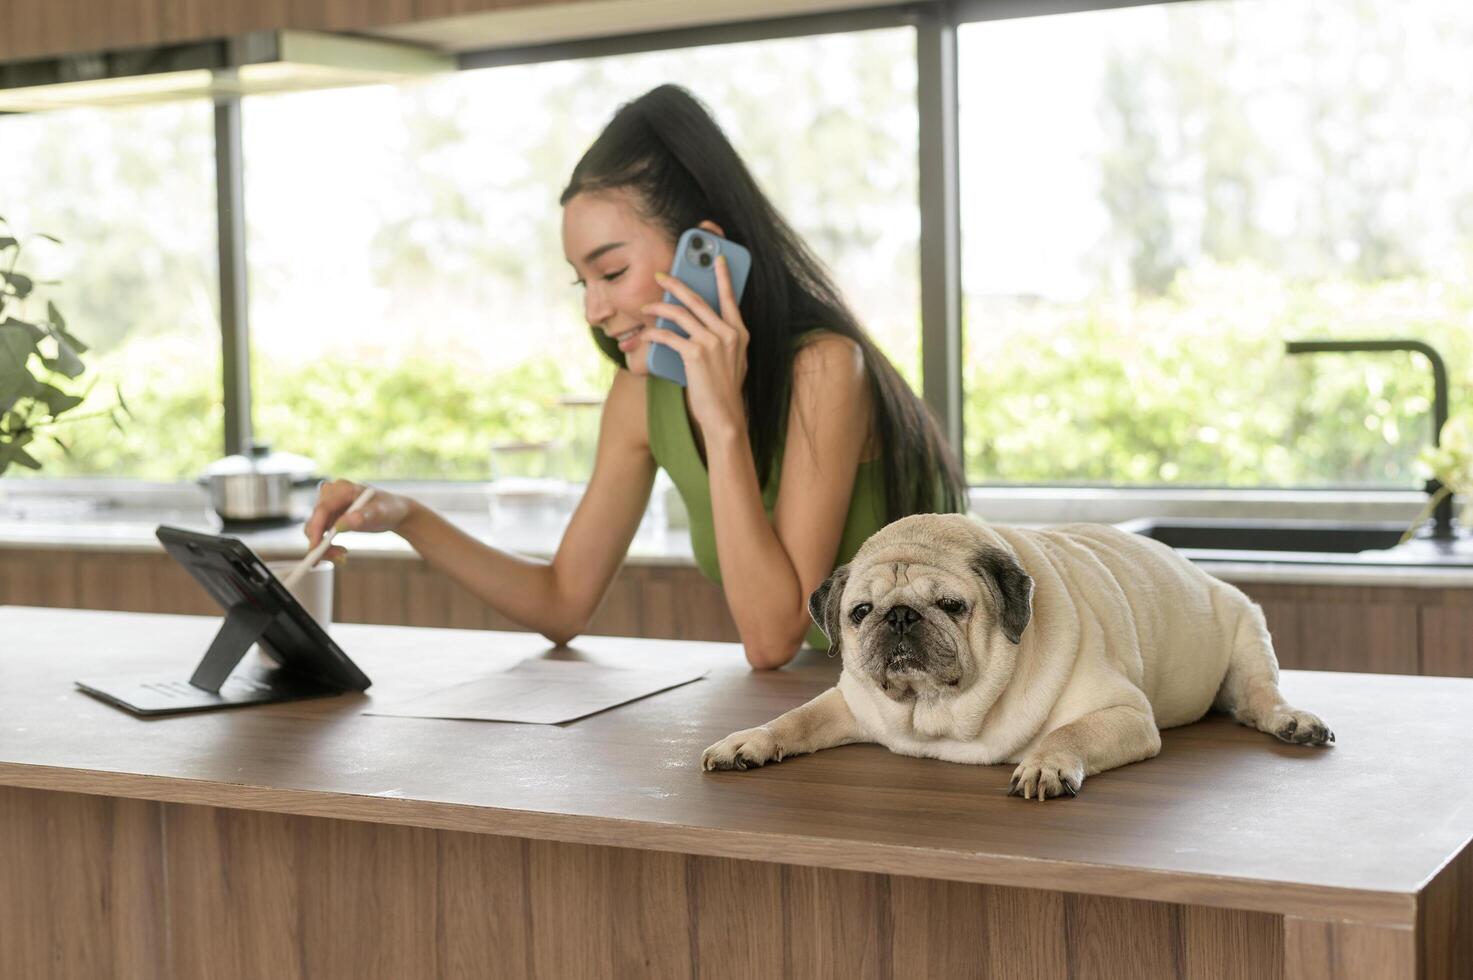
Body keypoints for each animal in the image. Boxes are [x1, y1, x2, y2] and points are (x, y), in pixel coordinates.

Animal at [701, 512, 1337, 795]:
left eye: (952, 605)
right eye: (860, 613)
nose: (900, 616)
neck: (936, 712)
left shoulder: (1124, 715)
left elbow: (1070, 732)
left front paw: (1045, 764)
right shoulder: (849, 704)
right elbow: (793, 719)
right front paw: (747, 742)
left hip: (1248, 634)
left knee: (1259, 698)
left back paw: (1293, 722)